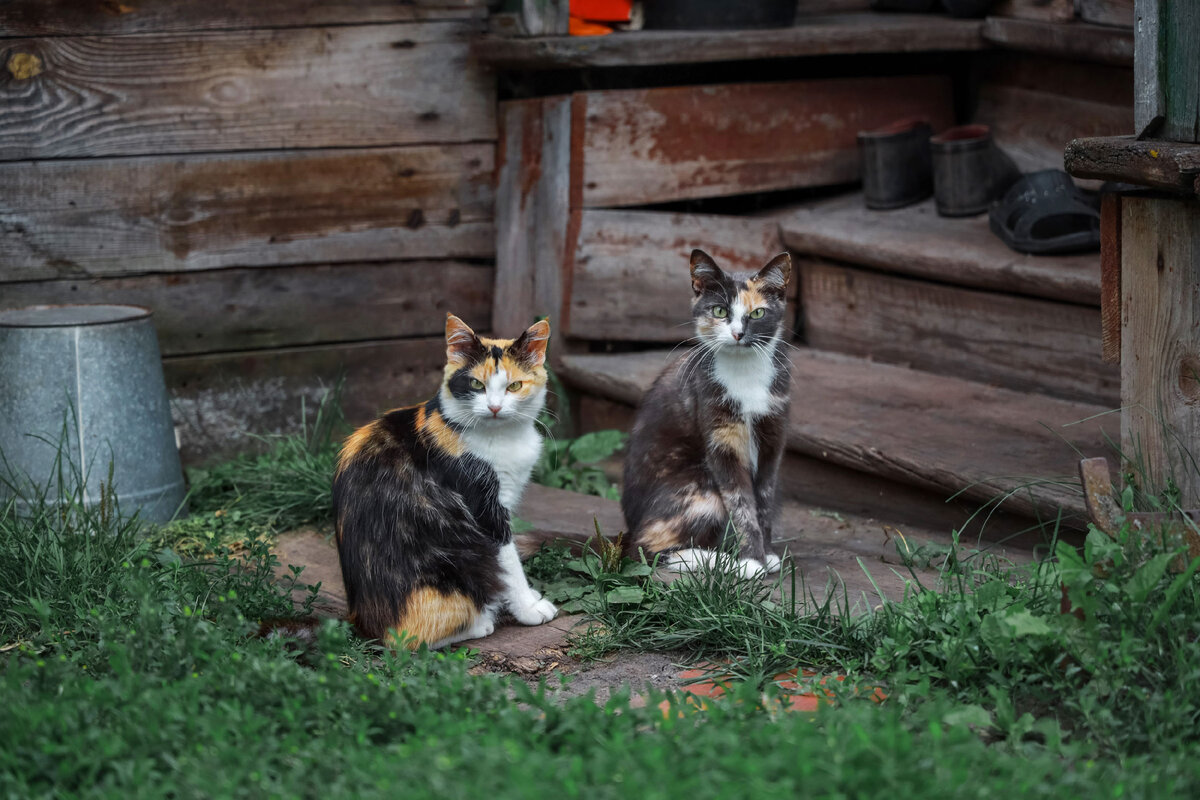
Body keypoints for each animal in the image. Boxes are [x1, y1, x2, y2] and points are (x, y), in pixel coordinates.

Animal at [333, 314, 556, 652]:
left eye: (514, 385)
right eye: (476, 384)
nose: (494, 407)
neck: (502, 436)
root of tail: (365, 624)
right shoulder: (485, 508)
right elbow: (510, 563)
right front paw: (529, 608)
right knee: (406, 641)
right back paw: (481, 623)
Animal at [624, 248, 792, 575]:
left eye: (757, 314)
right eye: (719, 311)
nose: (738, 333)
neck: (745, 374)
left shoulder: (772, 439)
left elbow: (764, 500)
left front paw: (767, 555)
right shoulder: (721, 442)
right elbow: (741, 505)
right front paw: (752, 563)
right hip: (700, 486)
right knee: (646, 549)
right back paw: (720, 561)